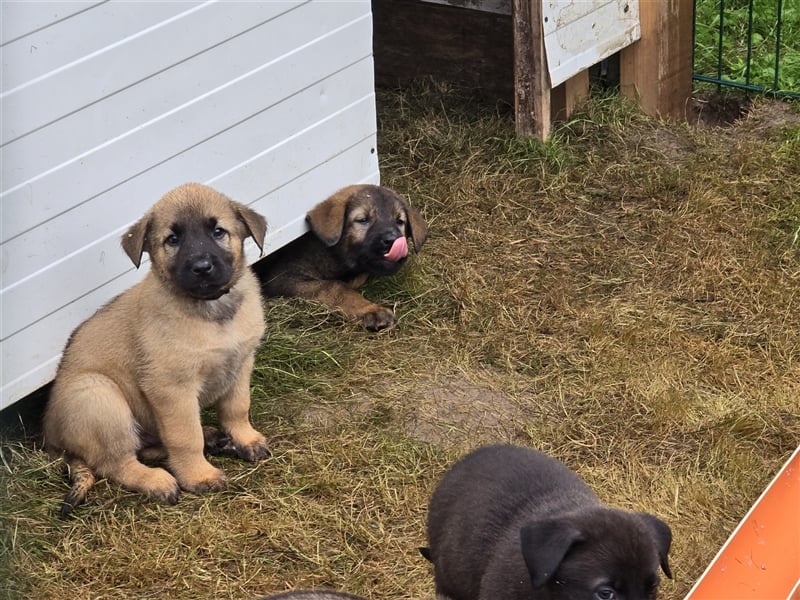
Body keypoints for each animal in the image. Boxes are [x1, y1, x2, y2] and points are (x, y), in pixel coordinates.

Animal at [43, 184, 268, 516]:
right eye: (172, 239)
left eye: (218, 231)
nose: (202, 268)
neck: (211, 311)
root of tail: (52, 437)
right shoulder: (171, 388)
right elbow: (185, 437)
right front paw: (198, 476)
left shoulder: (240, 364)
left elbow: (237, 407)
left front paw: (245, 439)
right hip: (97, 395)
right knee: (116, 462)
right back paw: (156, 481)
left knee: (147, 447)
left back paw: (215, 438)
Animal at [258, 184, 432, 330]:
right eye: (362, 220)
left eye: (399, 221)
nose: (392, 240)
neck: (333, 255)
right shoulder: (284, 277)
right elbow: (334, 286)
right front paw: (370, 310)